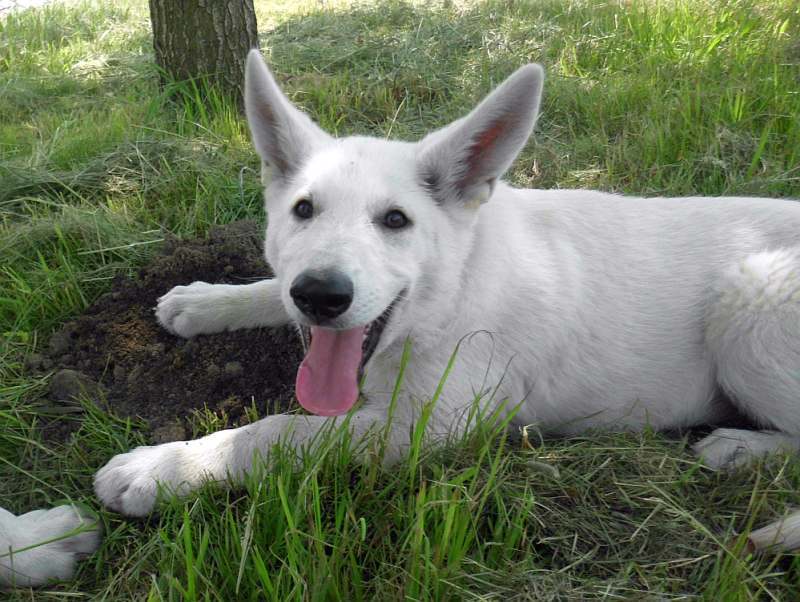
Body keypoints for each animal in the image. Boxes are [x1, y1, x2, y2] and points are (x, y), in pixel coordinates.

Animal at [97, 51, 800, 548]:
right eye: (303, 210)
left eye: (396, 221)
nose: (322, 296)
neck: (451, 293)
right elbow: (272, 290)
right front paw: (202, 303)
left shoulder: (423, 427)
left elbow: (280, 432)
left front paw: (160, 470)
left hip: (751, 299)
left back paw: (739, 450)